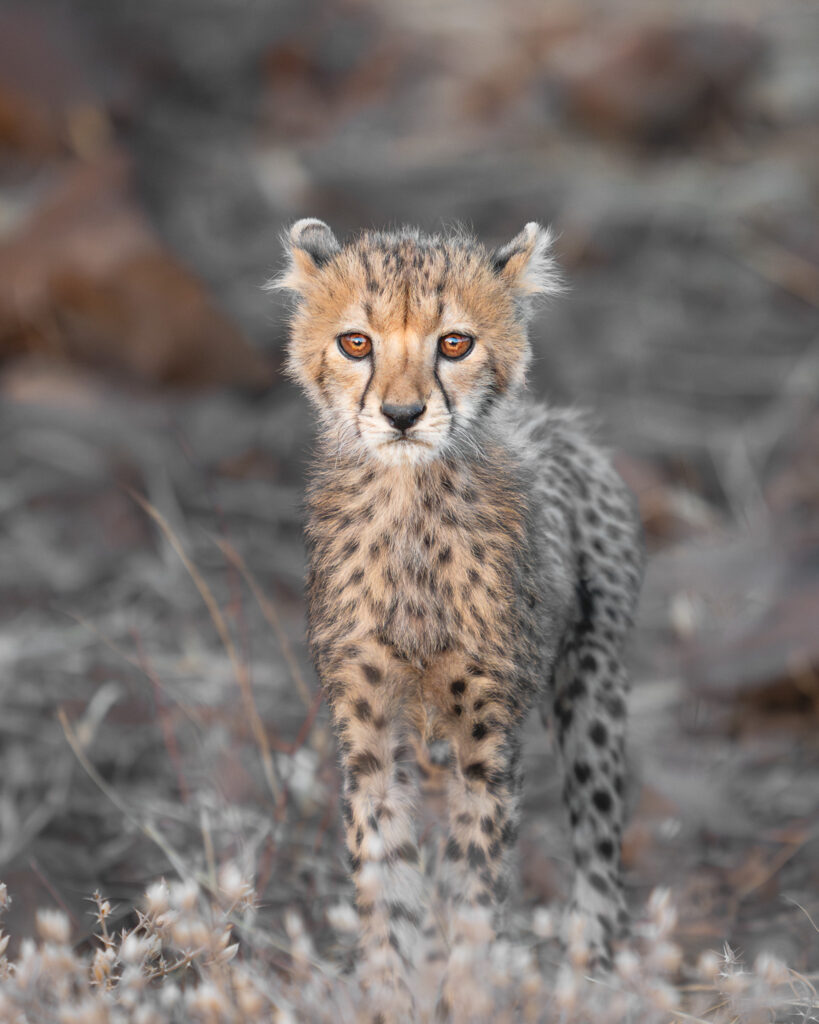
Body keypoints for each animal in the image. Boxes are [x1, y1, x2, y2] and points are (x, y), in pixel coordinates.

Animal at [272, 218, 645, 1021]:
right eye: (356, 343)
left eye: (454, 343)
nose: (402, 415)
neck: (411, 506)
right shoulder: (372, 734)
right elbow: (387, 877)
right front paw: (391, 995)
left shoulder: (487, 743)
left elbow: (474, 885)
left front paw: (467, 992)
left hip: (592, 686)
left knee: (599, 848)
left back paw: (590, 975)